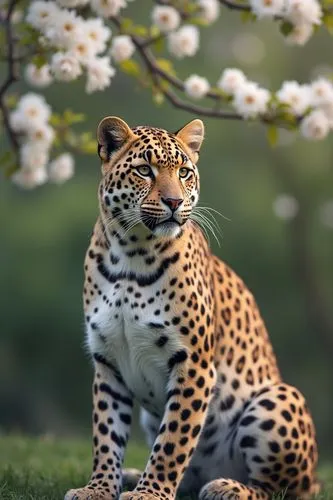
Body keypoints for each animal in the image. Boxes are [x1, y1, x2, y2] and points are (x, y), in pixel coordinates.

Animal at [64, 117, 320, 500]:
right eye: (145, 170)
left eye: (184, 172)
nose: (174, 201)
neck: (130, 254)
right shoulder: (107, 362)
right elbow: (106, 435)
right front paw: (99, 488)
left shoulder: (193, 362)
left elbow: (173, 441)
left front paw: (149, 494)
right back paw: (132, 475)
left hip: (277, 399)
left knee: (281, 488)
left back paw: (227, 487)